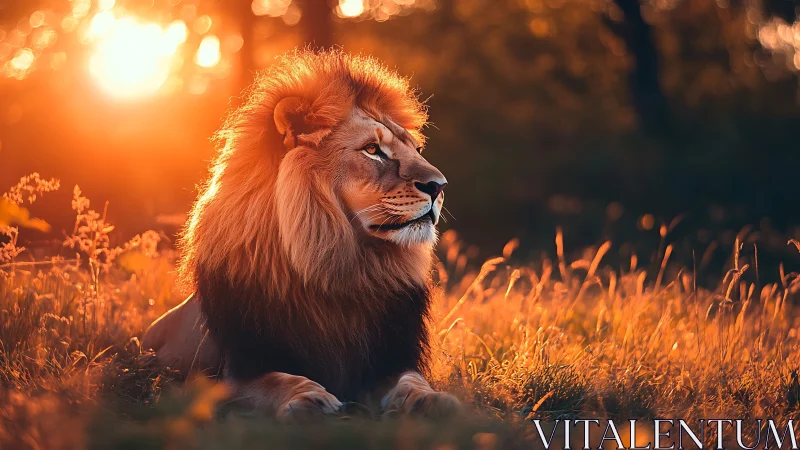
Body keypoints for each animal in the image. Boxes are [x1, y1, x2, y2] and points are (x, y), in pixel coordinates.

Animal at [142, 50, 460, 420]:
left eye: (414, 149)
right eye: (372, 150)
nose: (440, 186)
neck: (344, 267)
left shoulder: (389, 360)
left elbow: (412, 381)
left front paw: (432, 400)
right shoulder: (238, 369)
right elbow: (276, 380)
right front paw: (311, 399)